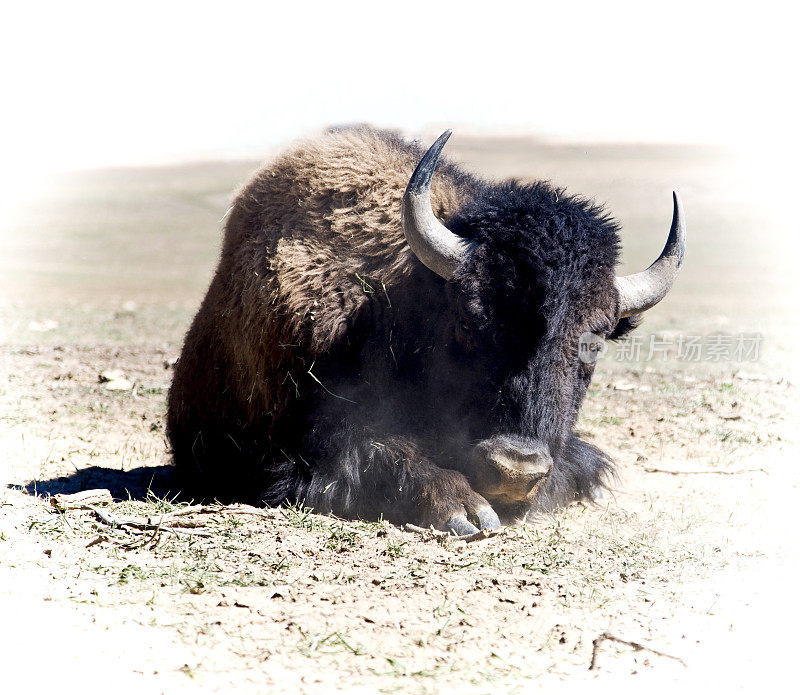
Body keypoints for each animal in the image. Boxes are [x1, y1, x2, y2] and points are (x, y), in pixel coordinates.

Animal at [166, 128, 684, 536]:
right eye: (469, 319)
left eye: (594, 341)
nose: (515, 469)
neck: (402, 303)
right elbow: (380, 453)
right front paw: (465, 511)